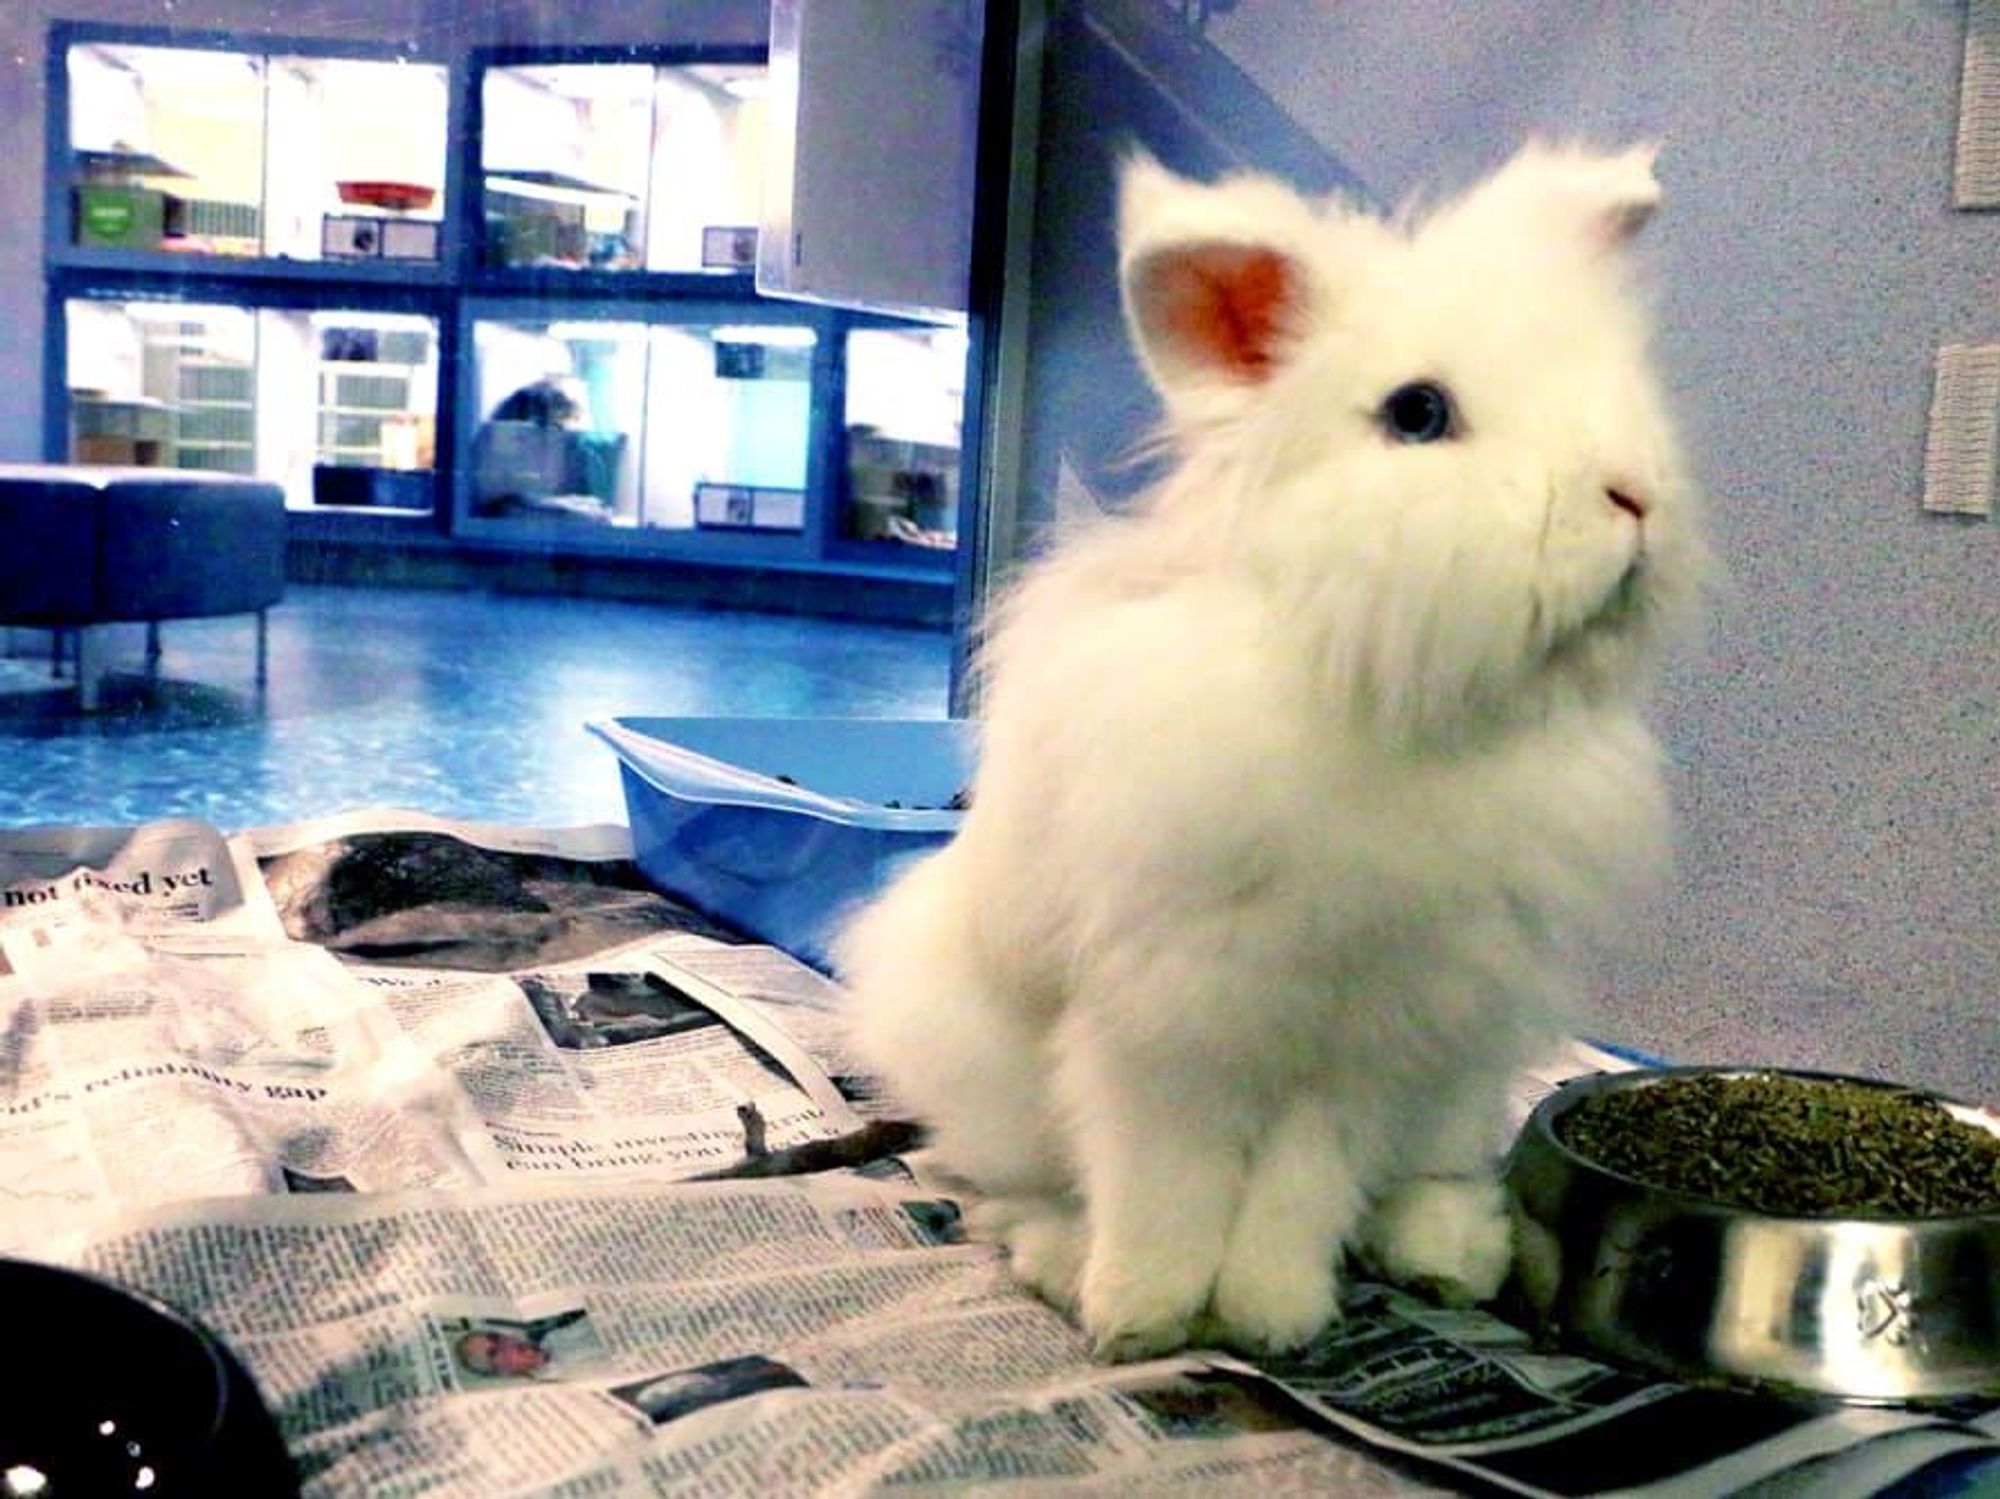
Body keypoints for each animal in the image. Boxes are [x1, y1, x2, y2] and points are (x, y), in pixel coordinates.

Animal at [838, 141, 1707, 1362]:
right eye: (1417, 411)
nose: (1632, 499)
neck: (1375, 675)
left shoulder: (1365, 1038)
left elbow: (1300, 1185)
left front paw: (1269, 1315)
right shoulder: (1160, 1019)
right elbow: (1161, 1177)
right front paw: (1140, 1315)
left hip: (1467, 1065)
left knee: (1423, 1168)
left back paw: (1447, 1253)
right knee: (1011, 1176)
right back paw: (1056, 1253)